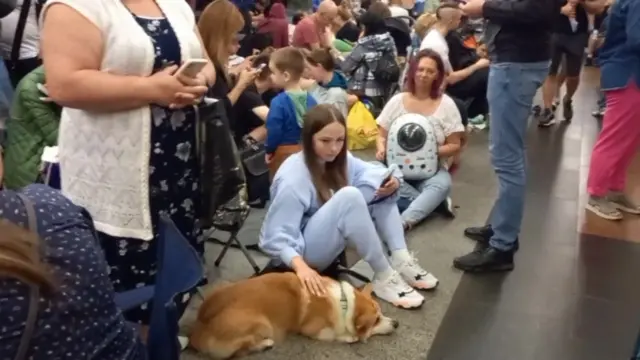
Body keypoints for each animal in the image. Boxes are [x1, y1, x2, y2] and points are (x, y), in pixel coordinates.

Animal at [190, 272, 398, 358]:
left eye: (381, 313)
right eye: (376, 320)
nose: (396, 323)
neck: (345, 303)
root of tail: (197, 331)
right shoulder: (313, 329)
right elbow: (337, 335)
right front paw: (350, 337)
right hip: (262, 323)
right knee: (240, 351)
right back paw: (265, 344)